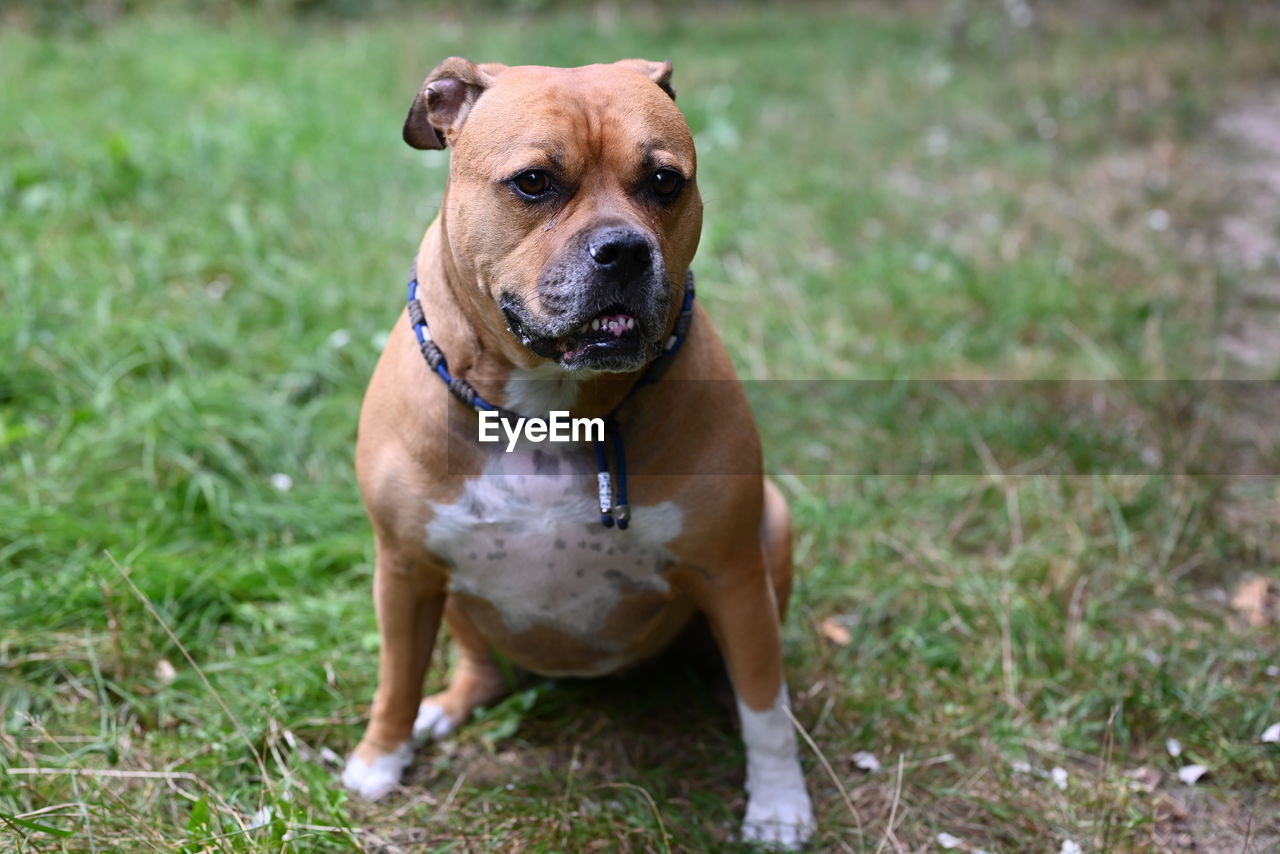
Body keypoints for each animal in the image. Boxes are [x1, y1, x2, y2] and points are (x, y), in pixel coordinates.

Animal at [343, 55, 808, 850]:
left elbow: (764, 704)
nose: (624, 249)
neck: (549, 409)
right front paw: (381, 757)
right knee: (478, 663)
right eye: (534, 182)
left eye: (665, 181)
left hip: (769, 528)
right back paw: (448, 706)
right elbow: (396, 675)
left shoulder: (732, 572)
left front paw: (779, 804)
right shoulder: (402, 566)